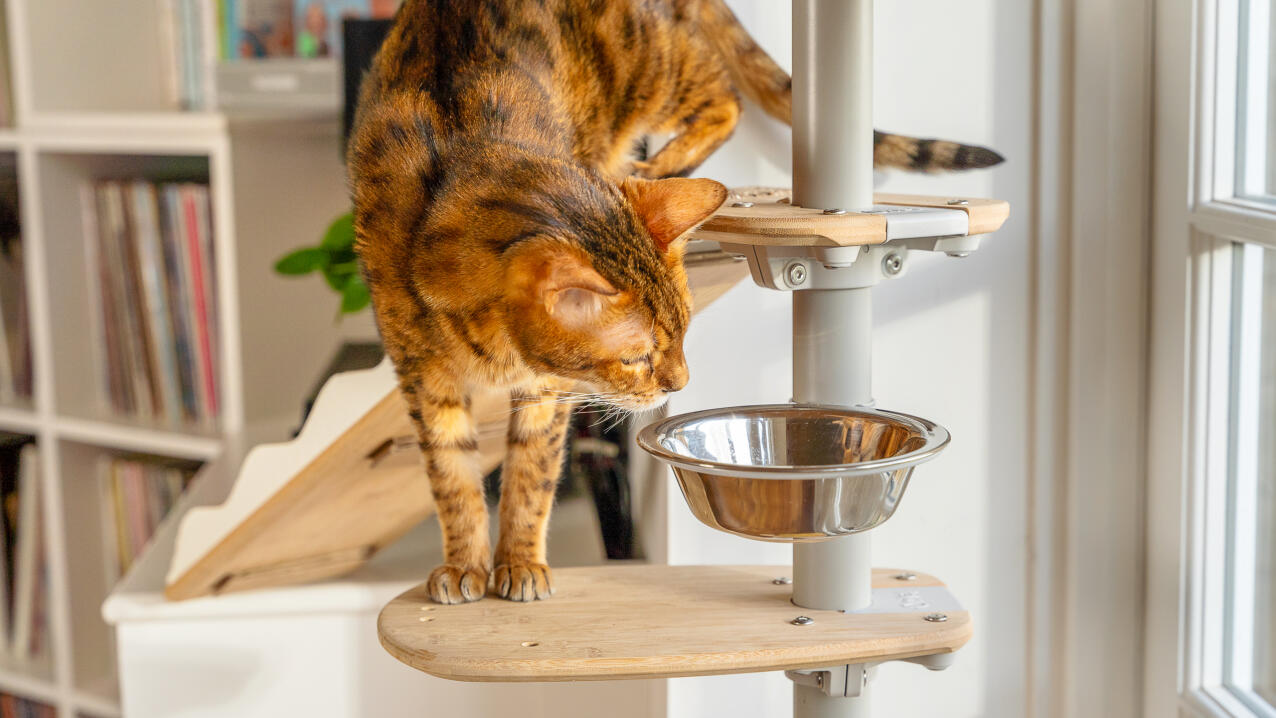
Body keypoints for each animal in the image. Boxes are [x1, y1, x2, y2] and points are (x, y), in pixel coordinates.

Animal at [352, 0, 1005, 604]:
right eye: (636, 358)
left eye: (685, 334)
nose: (680, 384)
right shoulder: (425, 381)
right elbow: (453, 478)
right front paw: (465, 565)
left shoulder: (545, 390)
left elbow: (531, 473)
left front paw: (520, 562)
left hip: (647, 66)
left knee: (725, 98)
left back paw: (660, 161)